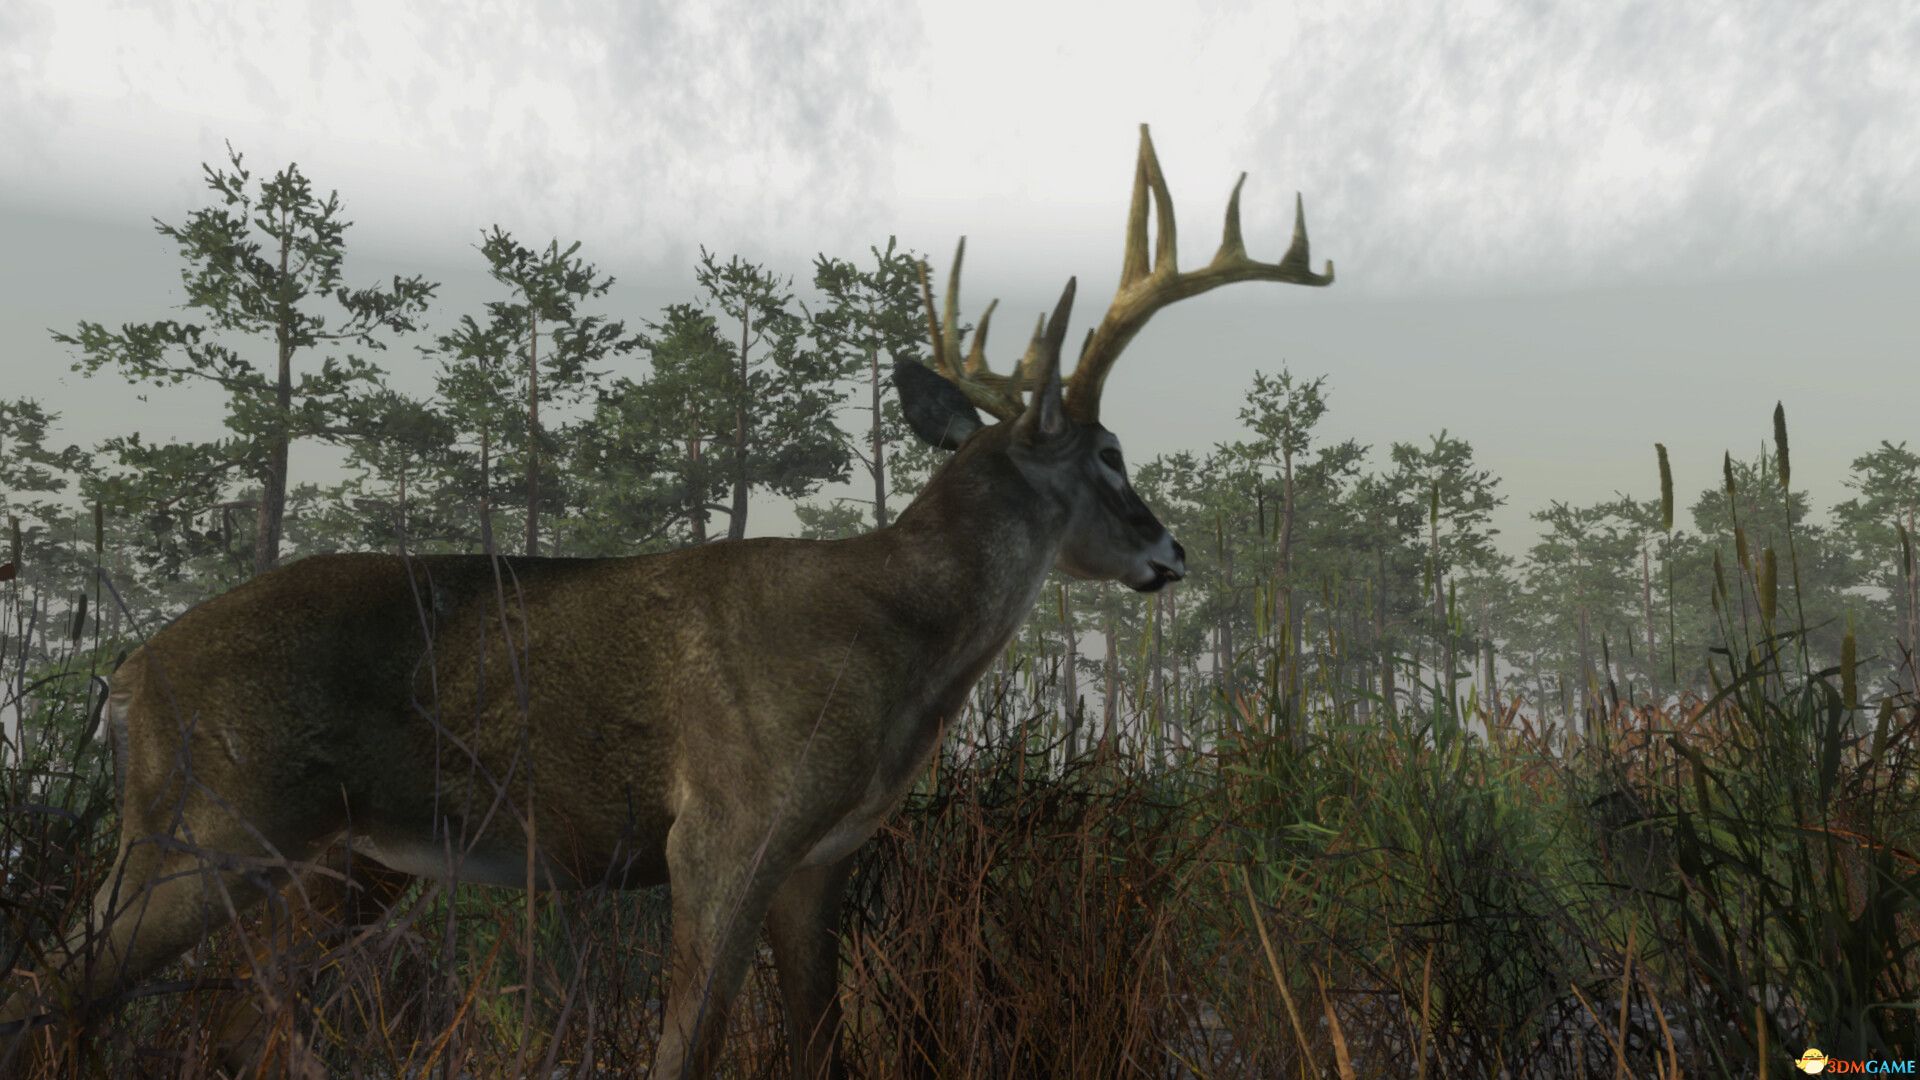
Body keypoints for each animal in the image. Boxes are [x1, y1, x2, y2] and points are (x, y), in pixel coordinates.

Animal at [0, 124, 1331, 1078]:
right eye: (1108, 454)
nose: (1171, 552)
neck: (896, 645)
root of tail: (126, 677)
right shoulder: (724, 826)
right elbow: (685, 1049)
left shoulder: (817, 859)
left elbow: (820, 1049)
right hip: (209, 821)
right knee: (52, 988)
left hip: (338, 864)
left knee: (235, 1021)